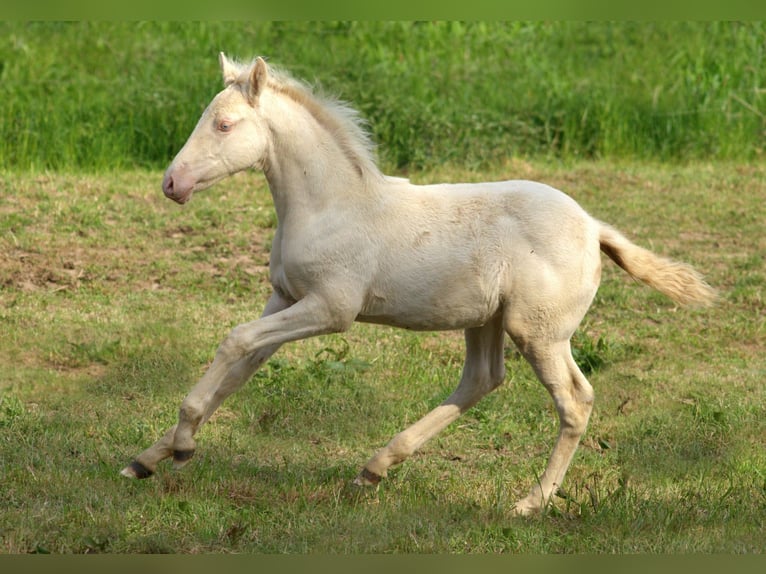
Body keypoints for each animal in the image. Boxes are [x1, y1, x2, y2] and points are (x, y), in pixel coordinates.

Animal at [121, 51, 720, 516]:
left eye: (223, 125)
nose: (172, 183)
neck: (330, 205)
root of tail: (595, 228)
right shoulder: (284, 299)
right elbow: (237, 371)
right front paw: (147, 459)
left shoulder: (330, 309)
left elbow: (234, 342)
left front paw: (181, 448)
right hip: (489, 321)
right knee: (483, 379)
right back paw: (373, 469)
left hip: (538, 331)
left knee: (574, 401)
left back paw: (529, 503)